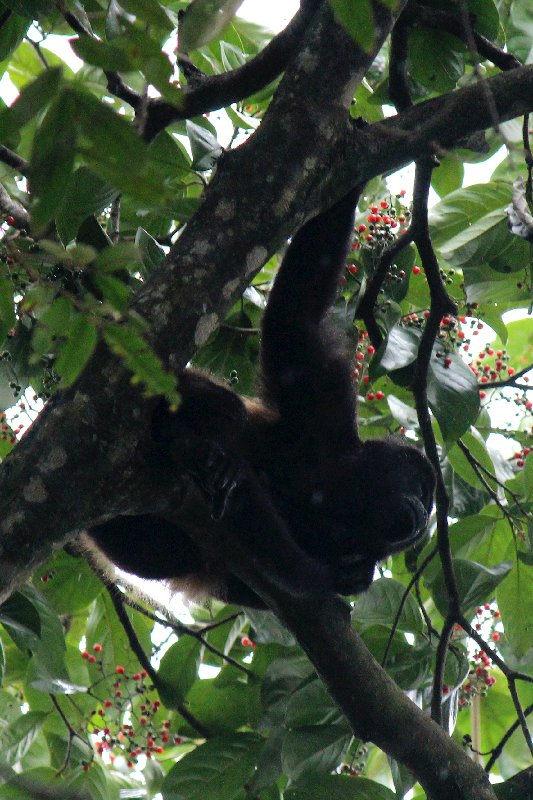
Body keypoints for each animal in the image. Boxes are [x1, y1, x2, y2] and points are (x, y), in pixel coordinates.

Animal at [87, 191, 434, 608]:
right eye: (418, 486)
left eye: (428, 502)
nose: (423, 513)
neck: (341, 491)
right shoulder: (323, 402)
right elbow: (296, 311)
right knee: (229, 411)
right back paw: (200, 455)